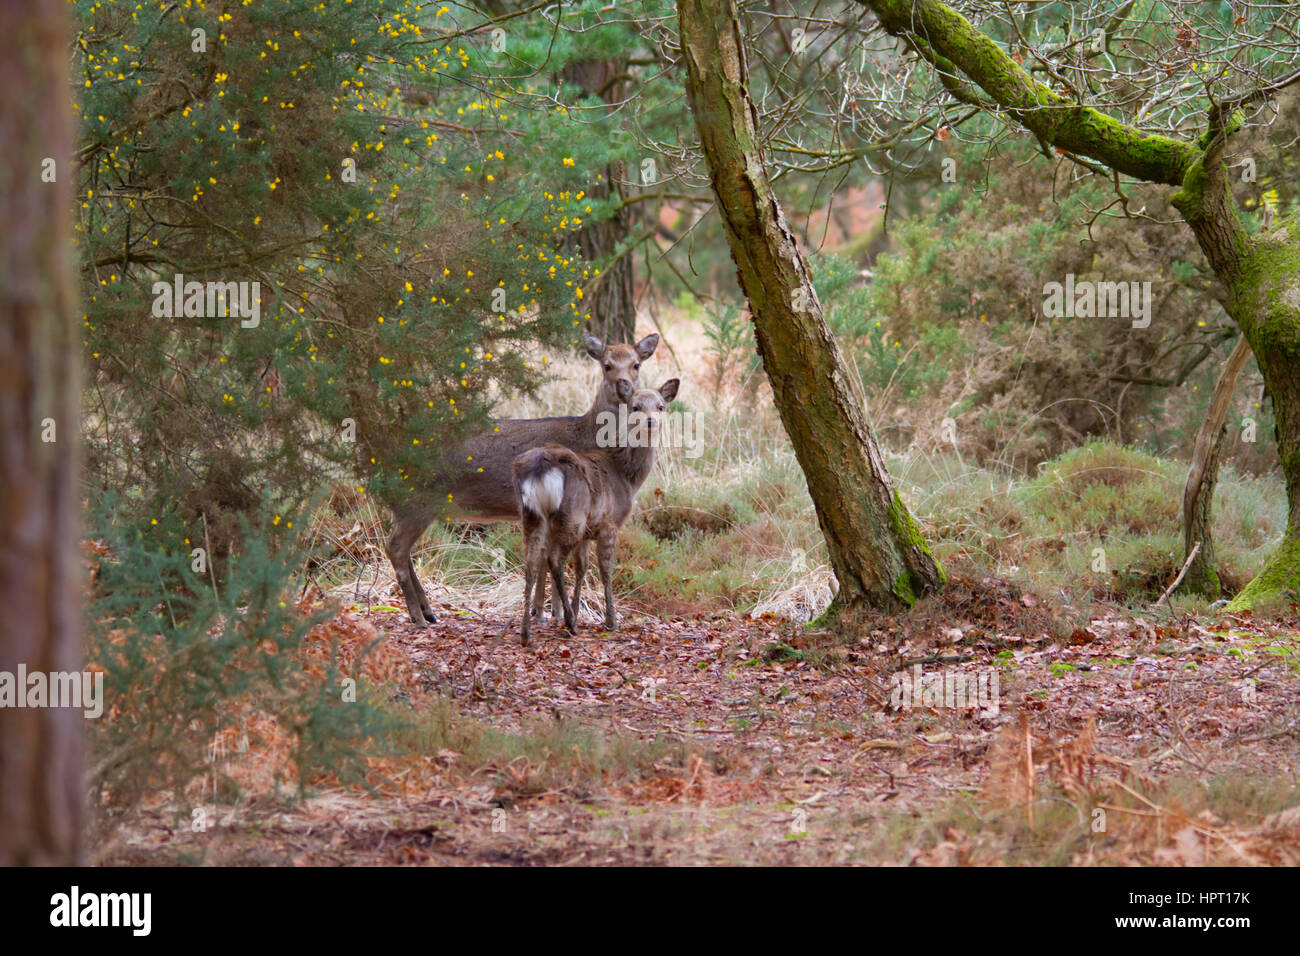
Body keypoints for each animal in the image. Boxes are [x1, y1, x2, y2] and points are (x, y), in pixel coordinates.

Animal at [379, 332, 655, 624]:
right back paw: (418, 616)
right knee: (396, 546)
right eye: (607, 365)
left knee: (402, 549)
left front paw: (542, 611)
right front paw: (550, 613)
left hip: (408, 503)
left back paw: (427, 611)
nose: (623, 385)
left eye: (636, 364)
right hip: (419, 498)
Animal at [514, 377, 686, 647]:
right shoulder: (609, 523)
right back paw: (569, 623)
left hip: (531, 515)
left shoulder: (588, 531)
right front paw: (610, 620)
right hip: (571, 515)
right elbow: (606, 569)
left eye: (661, 406)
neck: (626, 477)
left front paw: (577, 610)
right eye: (635, 406)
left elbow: (582, 567)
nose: (650, 421)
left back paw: (526, 631)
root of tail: (541, 468)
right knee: (554, 559)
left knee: (531, 562)